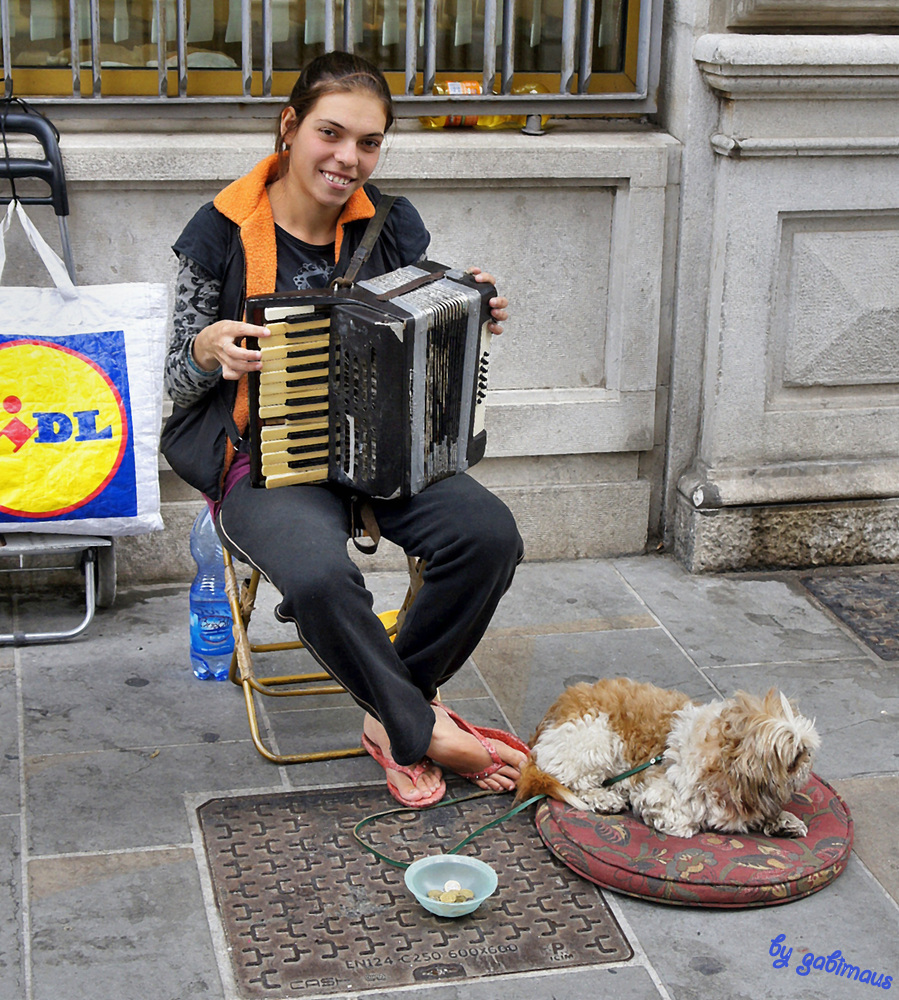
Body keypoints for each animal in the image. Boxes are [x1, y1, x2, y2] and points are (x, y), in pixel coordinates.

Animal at [516, 680, 820, 836]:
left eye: (806, 750)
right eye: (796, 756)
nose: (808, 761)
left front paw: (783, 822)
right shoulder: (658, 795)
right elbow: (685, 821)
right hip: (592, 738)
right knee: (573, 781)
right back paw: (605, 797)